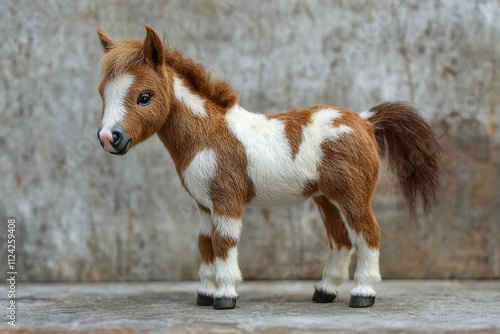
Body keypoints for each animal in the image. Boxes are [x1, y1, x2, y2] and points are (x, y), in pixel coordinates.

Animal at [95, 26, 440, 310]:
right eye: (102, 93)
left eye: (145, 96)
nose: (110, 139)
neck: (207, 135)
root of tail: (366, 121)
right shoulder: (204, 206)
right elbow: (206, 245)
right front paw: (205, 294)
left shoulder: (227, 202)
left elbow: (224, 244)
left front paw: (225, 296)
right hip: (327, 199)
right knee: (340, 240)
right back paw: (324, 291)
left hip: (353, 196)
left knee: (368, 234)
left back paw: (363, 294)